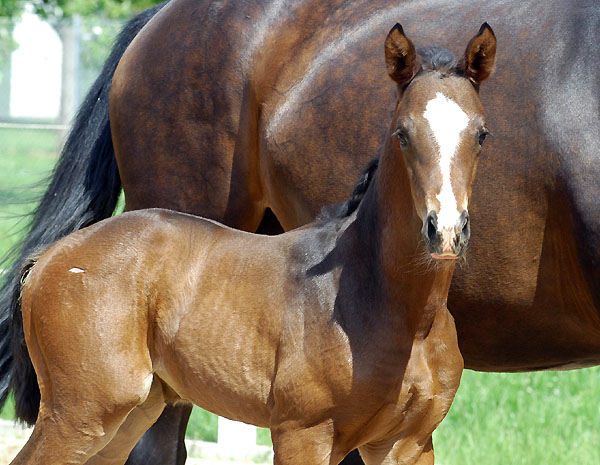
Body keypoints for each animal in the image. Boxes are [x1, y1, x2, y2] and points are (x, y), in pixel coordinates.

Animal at [0, 0, 596, 462]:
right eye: (402, 133)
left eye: (482, 134)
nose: (445, 231)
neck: (392, 304)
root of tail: (49, 258)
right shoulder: (302, 434)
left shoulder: (407, 444)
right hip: (82, 414)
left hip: (131, 410)